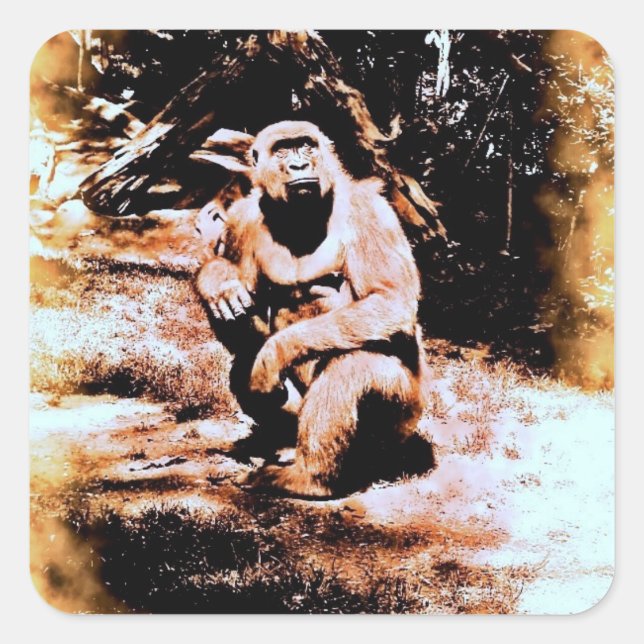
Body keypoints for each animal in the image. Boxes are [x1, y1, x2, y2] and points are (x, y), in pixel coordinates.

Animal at [196, 120, 433, 498]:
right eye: (282, 150)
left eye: (306, 146)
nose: (299, 165)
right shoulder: (240, 219)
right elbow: (240, 307)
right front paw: (216, 280)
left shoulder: (369, 208)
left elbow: (390, 300)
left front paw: (274, 354)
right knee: (245, 364)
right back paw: (284, 448)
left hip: (405, 420)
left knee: (352, 365)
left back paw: (310, 478)